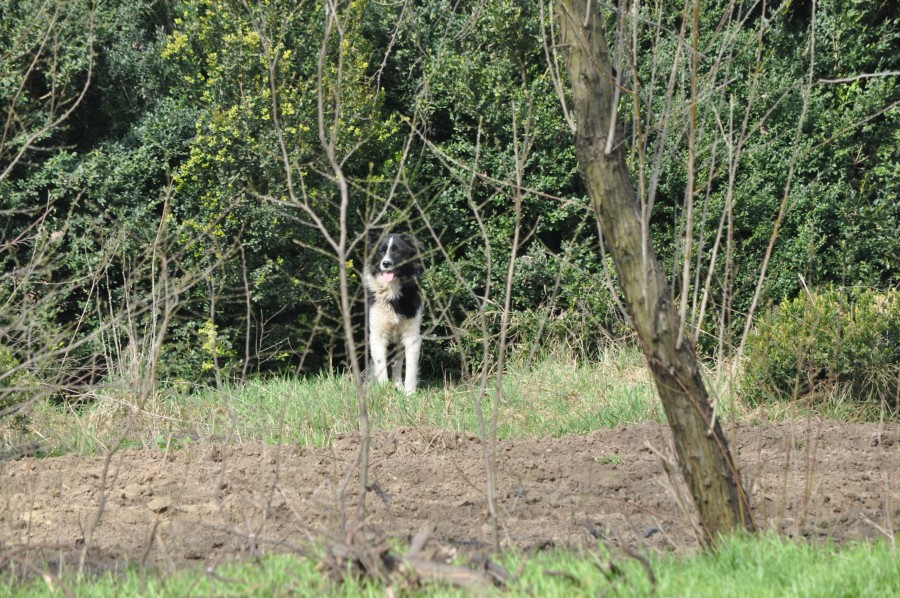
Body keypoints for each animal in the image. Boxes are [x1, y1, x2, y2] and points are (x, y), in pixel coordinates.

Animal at [364, 232, 424, 396]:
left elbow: (410, 368)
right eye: (381, 251)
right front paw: (383, 391)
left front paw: (409, 394)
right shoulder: (377, 335)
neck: (392, 292)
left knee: (397, 365)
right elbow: (381, 366)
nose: (386, 263)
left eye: (398, 252)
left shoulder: (411, 336)